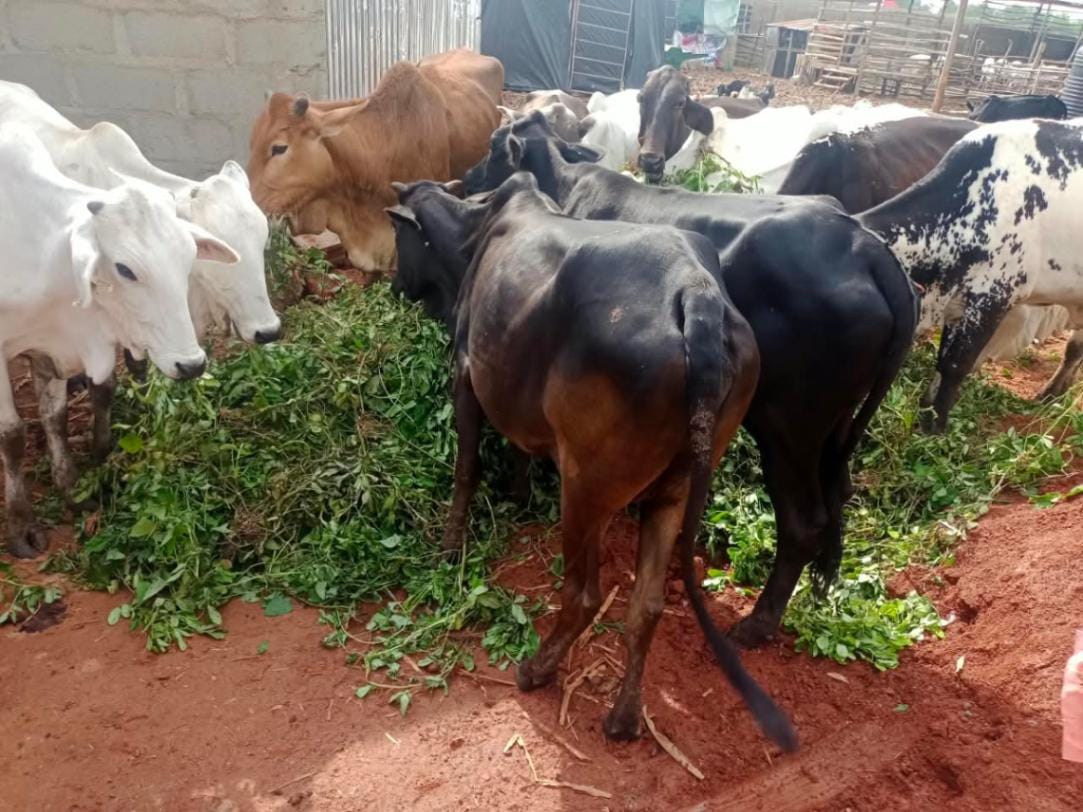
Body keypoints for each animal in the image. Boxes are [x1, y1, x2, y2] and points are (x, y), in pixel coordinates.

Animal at [0, 125, 239, 558]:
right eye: (125, 269)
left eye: (188, 257)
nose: (192, 364)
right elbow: (12, 435)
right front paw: (21, 525)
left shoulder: (53, 343)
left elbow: (54, 416)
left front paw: (71, 486)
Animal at [386, 171, 796, 750]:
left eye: (397, 234)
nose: (393, 286)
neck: (476, 231)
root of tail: (696, 295)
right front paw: (516, 494)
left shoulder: (466, 370)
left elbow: (467, 466)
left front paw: (450, 546)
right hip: (673, 489)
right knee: (646, 605)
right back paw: (623, 717)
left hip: (585, 486)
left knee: (583, 593)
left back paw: (536, 670)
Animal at [463, 114, 919, 648]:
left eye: (495, 147)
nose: (466, 179)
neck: (566, 184)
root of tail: (867, 248)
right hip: (835, 424)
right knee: (838, 494)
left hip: (788, 426)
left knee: (804, 522)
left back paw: (758, 623)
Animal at [858, 119, 1083, 431]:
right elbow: (942, 363)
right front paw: (927, 413)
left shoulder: (993, 297)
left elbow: (954, 365)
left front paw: (935, 427)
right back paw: (1052, 394)